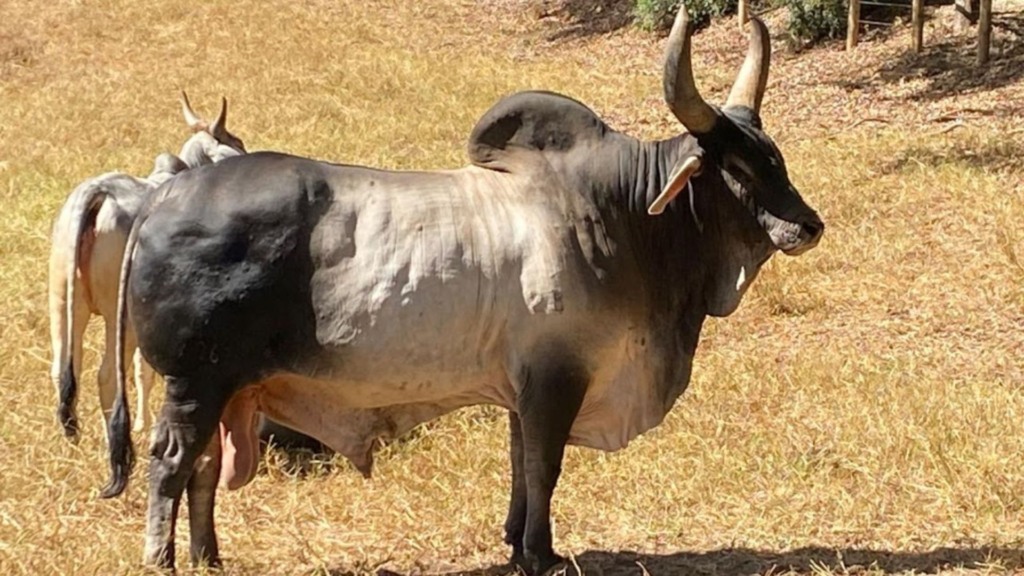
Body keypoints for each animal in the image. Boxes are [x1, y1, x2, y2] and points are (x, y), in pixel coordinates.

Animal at [48, 94, 247, 436]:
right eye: (237, 142)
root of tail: (97, 194)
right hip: (120, 316)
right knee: (107, 375)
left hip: (62, 300)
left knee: (63, 369)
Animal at [101, 5, 823, 573]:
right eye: (737, 167)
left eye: (775, 155)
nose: (808, 225)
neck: (621, 217)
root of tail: (166, 196)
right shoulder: (556, 380)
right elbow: (545, 465)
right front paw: (540, 555)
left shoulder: (523, 388)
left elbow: (521, 462)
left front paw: (516, 542)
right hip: (195, 382)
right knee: (171, 462)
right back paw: (163, 559)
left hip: (225, 388)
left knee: (201, 470)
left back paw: (209, 557)